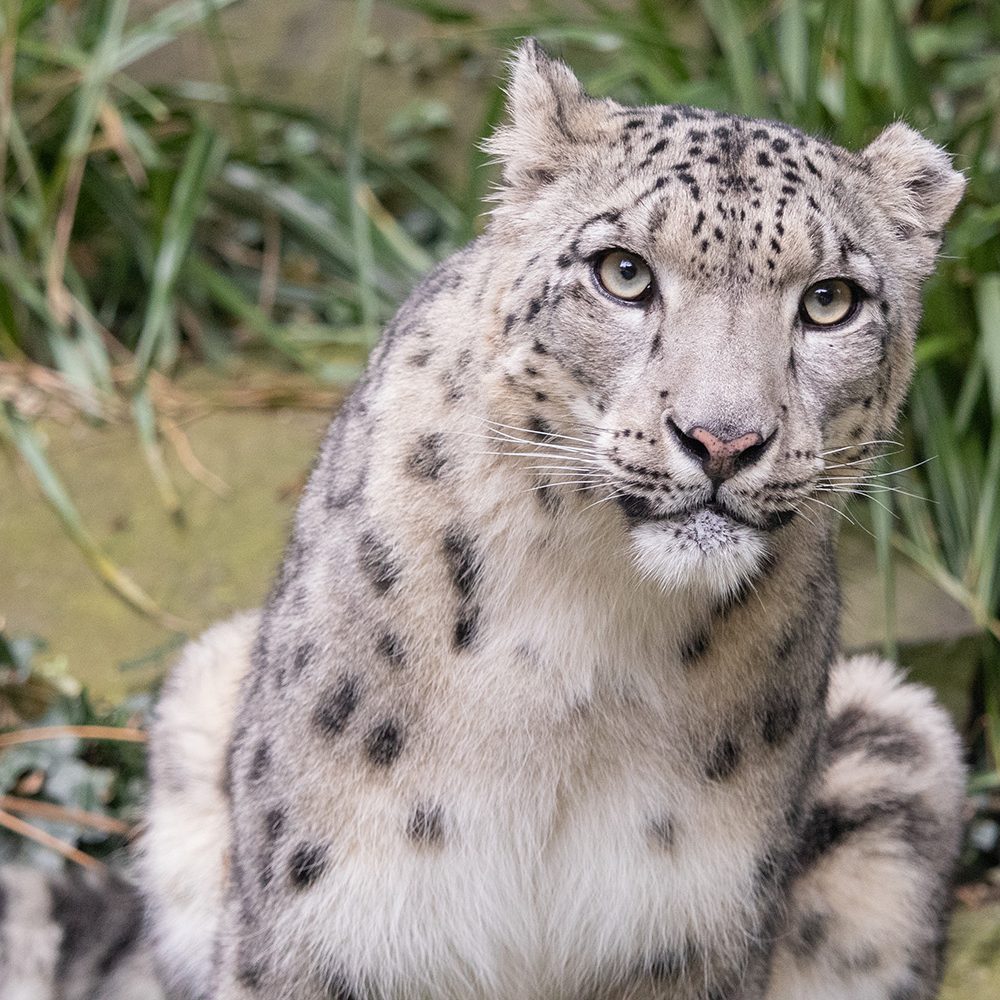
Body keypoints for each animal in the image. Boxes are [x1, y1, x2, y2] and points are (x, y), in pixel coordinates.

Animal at [0, 39, 968, 1000]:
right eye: (623, 272)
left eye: (830, 300)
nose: (723, 440)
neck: (593, 630)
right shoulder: (325, 924)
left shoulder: (694, 938)